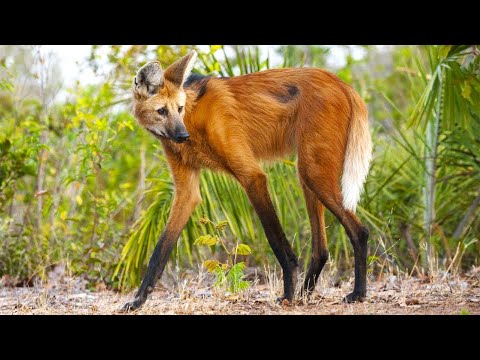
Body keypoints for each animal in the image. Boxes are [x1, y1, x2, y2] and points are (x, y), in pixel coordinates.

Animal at [122, 50, 374, 312]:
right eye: (162, 111)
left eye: (178, 109)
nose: (182, 135)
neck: (193, 119)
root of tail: (343, 84)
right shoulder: (186, 191)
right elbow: (160, 250)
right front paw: (138, 300)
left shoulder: (252, 177)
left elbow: (275, 240)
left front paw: (287, 294)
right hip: (307, 173)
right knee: (321, 249)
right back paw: (306, 294)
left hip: (313, 173)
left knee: (360, 231)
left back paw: (357, 293)